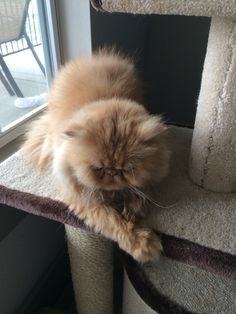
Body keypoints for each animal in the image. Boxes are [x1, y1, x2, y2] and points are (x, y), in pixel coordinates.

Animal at [22, 50, 170, 262]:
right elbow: (114, 222)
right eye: (99, 169)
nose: (113, 172)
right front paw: (142, 243)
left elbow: (141, 192)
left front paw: (134, 209)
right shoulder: (85, 201)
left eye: (127, 169)